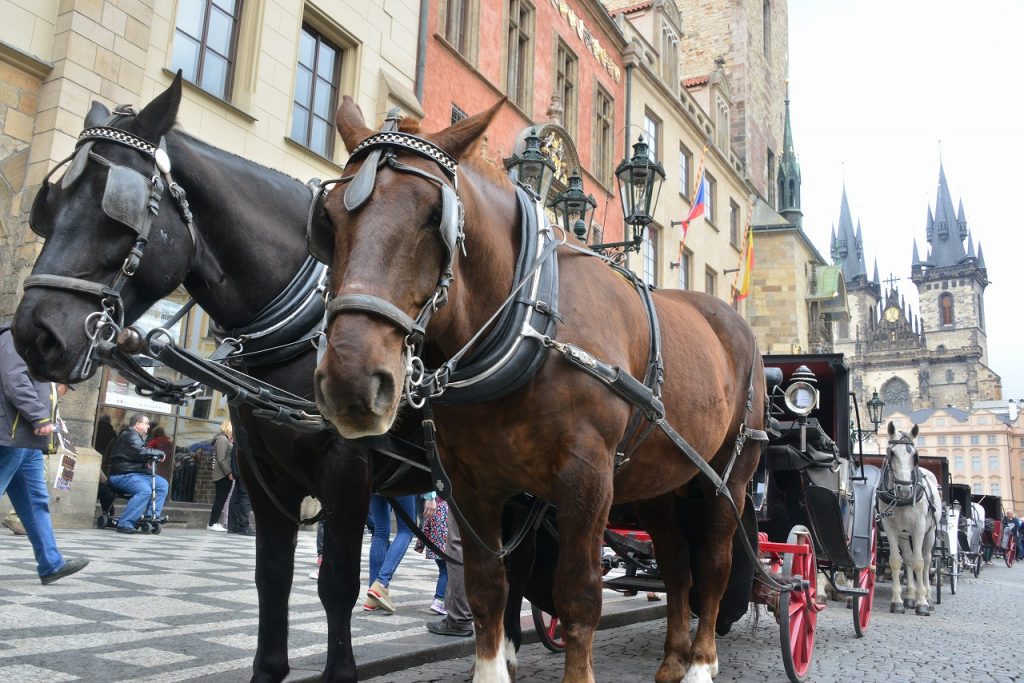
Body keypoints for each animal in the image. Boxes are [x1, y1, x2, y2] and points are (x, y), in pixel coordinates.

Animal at [315, 97, 765, 683]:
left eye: (435, 217)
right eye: (329, 220)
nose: (351, 381)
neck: (532, 318)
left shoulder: (586, 479)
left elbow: (578, 595)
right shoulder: (470, 485)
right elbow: (487, 588)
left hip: (728, 478)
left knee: (713, 565)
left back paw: (700, 663)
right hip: (661, 483)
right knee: (675, 567)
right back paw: (672, 660)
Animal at [876, 421, 937, 614]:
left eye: (915, 456)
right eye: (892, 453)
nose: (904, 489)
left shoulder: (919, 528)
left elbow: (919, 562)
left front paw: (922, 603)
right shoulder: (890, 527)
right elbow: (896, 561)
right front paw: (897, 602)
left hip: (930, 533)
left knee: (926, 560)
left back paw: (928, 596)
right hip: (904, 534)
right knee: (908, 559)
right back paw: (910, 596)